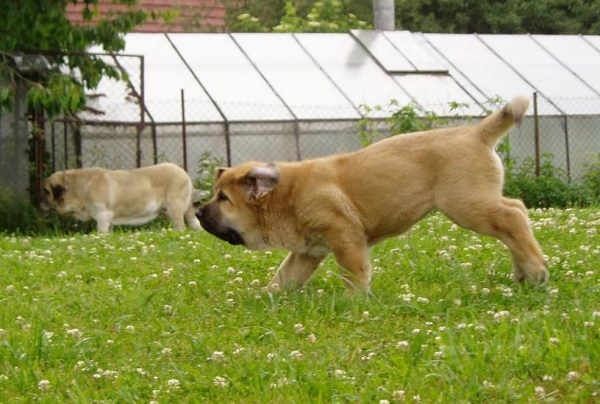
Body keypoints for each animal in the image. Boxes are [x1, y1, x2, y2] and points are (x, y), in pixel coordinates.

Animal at [43, 162, 204, 232]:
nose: (40, 202)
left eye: (46, 191)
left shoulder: (102, 216)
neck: (78, 188)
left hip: (174, 209)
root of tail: (184, 173)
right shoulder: (107, 221)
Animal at [197, 96, 548, 292]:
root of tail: (474, 133)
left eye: (224, 199)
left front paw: (355, 302)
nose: (198, 213)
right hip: (478, 200)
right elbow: (282, 279)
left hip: (466, 205)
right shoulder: (307, 252)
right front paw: (264, 300)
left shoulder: (344, 235)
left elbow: (353, 273)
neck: (286, 198)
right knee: (516, 210)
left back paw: (535, 270)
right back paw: (523, 272)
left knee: (512, 217)